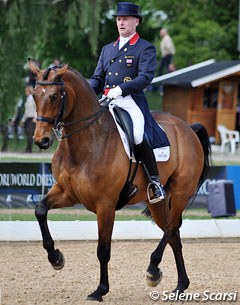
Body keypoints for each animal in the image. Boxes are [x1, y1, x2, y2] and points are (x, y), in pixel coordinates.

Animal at [28, 58, 211, 300]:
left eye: (54, 96)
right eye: (34, 95)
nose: (41, 141)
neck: (86, 140)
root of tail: (187, 128)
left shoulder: (105, 205)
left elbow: (103, 250)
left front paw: (100, 290)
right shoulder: (67, 192)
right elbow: (40, 209)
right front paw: (55, 257)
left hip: (180, 192)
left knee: (172, 227)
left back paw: (153, 270)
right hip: (157, 202)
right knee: (173, 235)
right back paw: (180, 285)